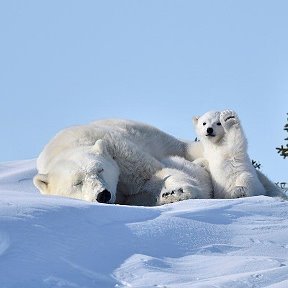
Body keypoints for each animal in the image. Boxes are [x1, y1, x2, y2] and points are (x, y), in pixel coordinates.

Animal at [33, 118, 210, 206]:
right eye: (77, 183)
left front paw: (176, 192)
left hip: (159, 138)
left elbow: (154, 174)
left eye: (100, 169)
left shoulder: (118, 152)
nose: (102, 194)